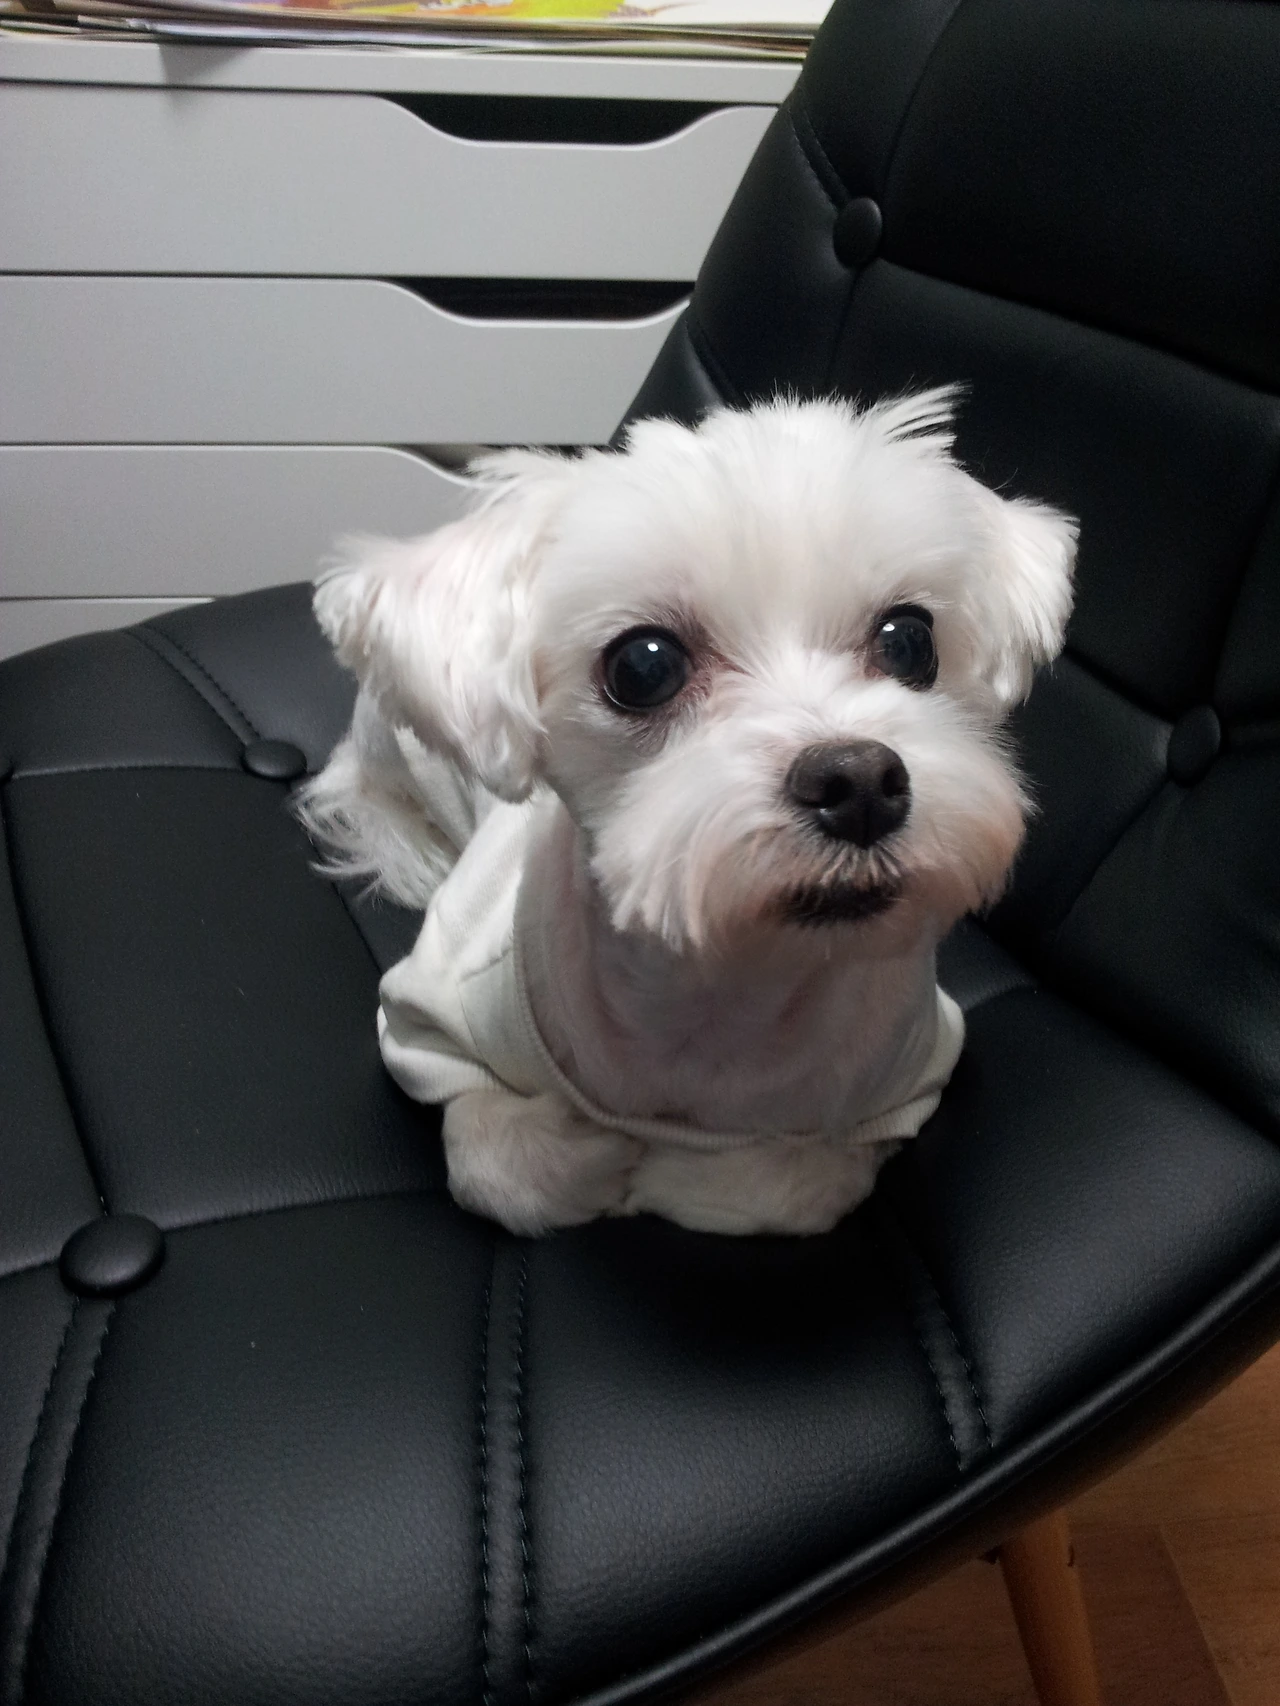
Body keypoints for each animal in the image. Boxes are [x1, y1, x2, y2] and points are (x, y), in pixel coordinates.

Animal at [299, 389, 1076, 1237]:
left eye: (909, 641)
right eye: (644, 666)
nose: (861, 782)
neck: (723, 990)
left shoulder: (912, 1079)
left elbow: (799, 1181)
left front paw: (681, 1174)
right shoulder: (423, 1027)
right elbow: (487, 1157)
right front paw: (586, 1155)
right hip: (395, 757)